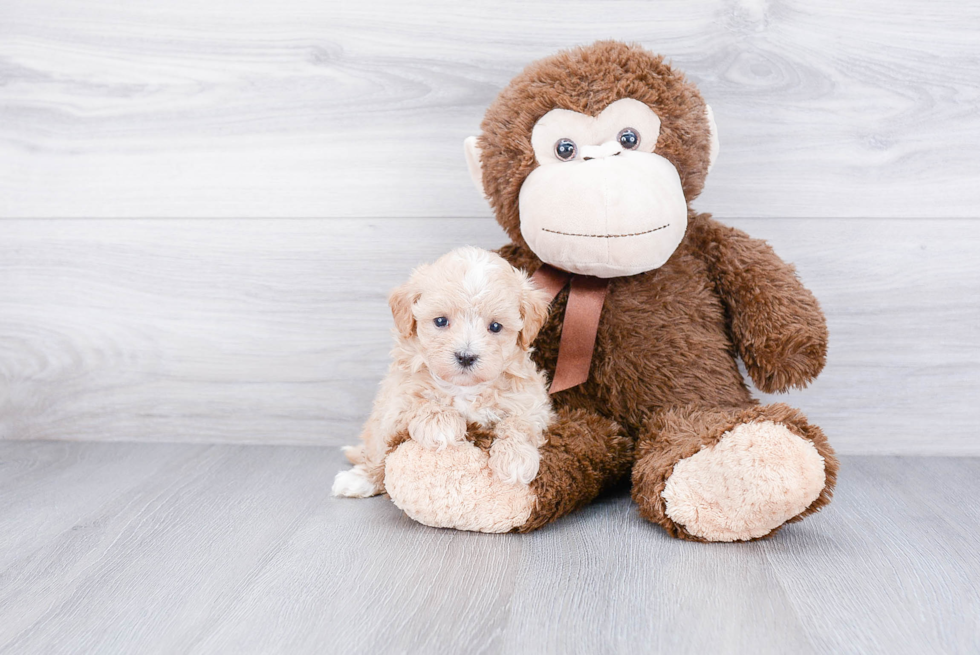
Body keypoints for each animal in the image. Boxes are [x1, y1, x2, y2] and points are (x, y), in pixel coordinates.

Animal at [334, 246, 556, 498]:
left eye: (495, 326)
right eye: (440, 321)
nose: (466, 356)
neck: (464, 388)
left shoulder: (533, 403)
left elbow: (520, 422)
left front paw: (515, 457)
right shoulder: (395, 401)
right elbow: (419, 402)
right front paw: (441, 424)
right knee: (376, 454)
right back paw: (359, 479)